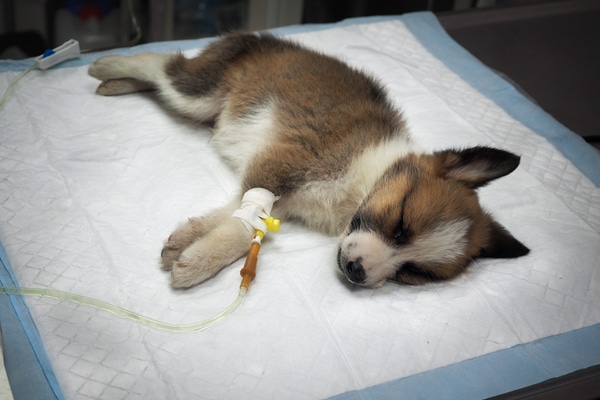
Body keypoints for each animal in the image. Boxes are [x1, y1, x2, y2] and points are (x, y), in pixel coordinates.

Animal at [86, 33, 528, 288]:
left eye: (413, 273)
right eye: (401, 224)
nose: (357, 272)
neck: (365, 179)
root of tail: (262, 39)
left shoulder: (279, 189)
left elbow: (235, 217)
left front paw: (188, 242)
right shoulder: (284, 162)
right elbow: (244, 221)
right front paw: (198, 261)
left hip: (201, 105)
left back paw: (115, 84)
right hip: (198, 91)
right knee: (162, 64)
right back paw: (108, 64)